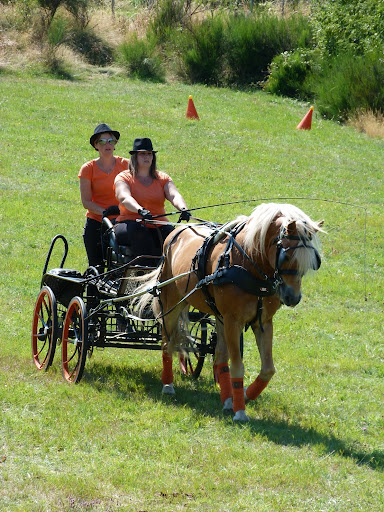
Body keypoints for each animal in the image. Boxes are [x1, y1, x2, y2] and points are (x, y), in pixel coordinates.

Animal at [135, 202, 324, 422]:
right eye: (287, 255)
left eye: (313, 260)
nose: (293, 297)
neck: (249, 265)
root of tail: (175, 233)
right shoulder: (234, 321)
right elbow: (237, 366)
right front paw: (240, 411)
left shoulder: (263, 322)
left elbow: (267, 369)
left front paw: (244, 395)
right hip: (172, 303)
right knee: (167, 343)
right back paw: (168, 384)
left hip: (219, 316)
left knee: (219, 356)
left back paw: (226, 399)